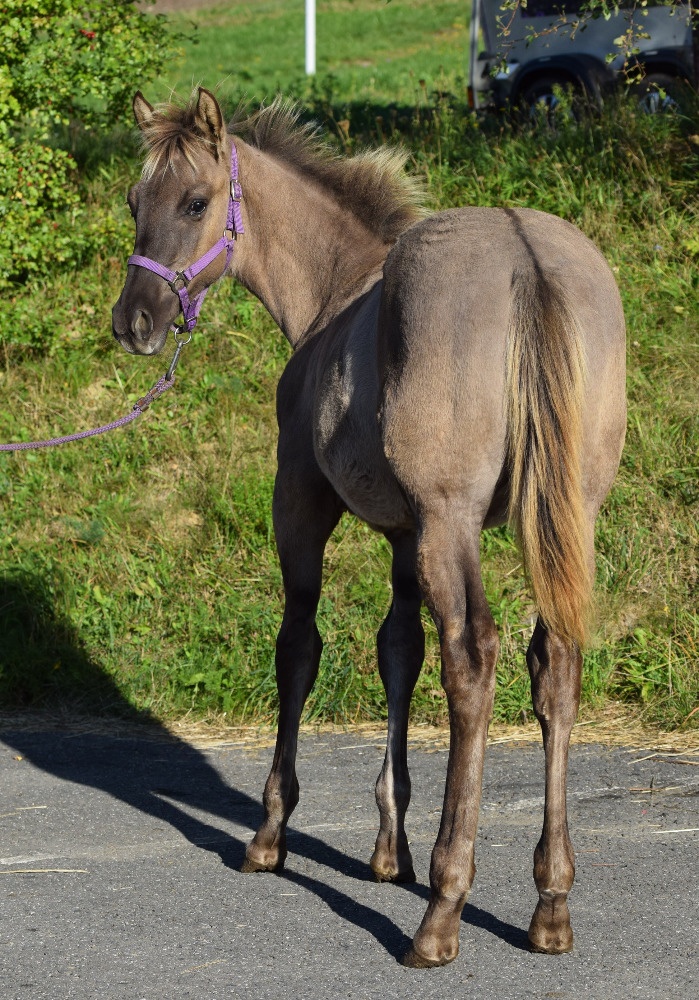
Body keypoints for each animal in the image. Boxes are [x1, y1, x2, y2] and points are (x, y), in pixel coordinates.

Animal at [112, 87, 626, 968]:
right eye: (133, 201)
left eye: (195, 202)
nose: (134, 321)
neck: (337, 288)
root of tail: (527, 257)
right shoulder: (404, 535)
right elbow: (397, 652)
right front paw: (390, 847)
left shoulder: (303, 503)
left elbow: (299, 648)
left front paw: (270, 833)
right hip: (562, 518)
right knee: (552, 662)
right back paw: (549, 902)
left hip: (453, 522)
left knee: (473, 659)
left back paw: (444, 911)